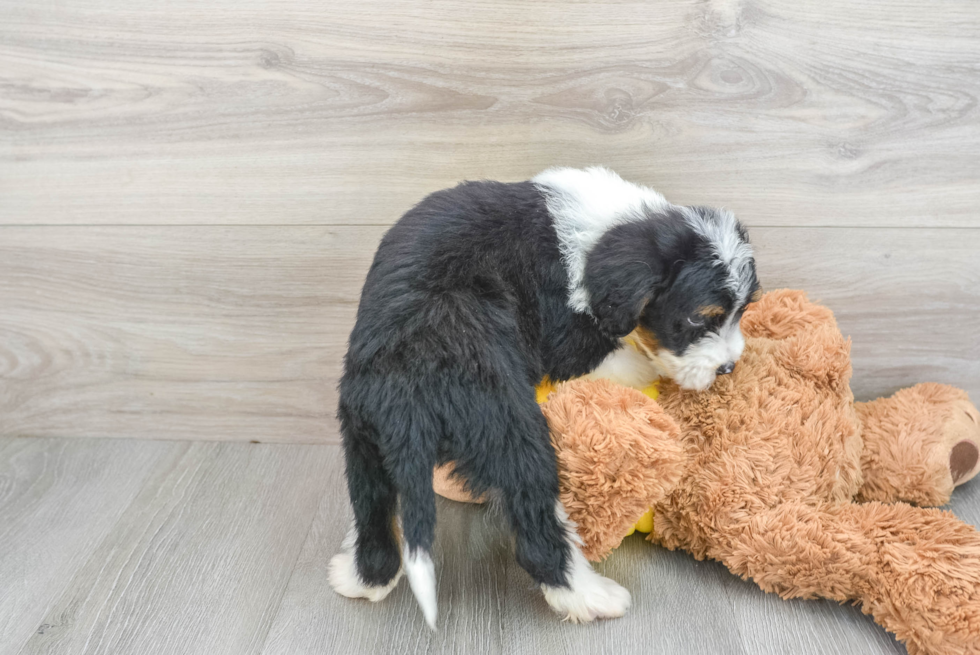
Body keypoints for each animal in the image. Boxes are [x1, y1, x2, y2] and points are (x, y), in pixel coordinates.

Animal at [328, 167, 756, 628]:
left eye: (742, 312)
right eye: (698, 318)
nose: (728, 367)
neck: (610, 234)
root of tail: (408, 394)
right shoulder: (566, 341)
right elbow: (622, 359)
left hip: (363, 436)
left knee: (373, 511)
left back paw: (361, 579)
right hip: (509, 428)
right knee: (535, 528)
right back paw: (590, 596)